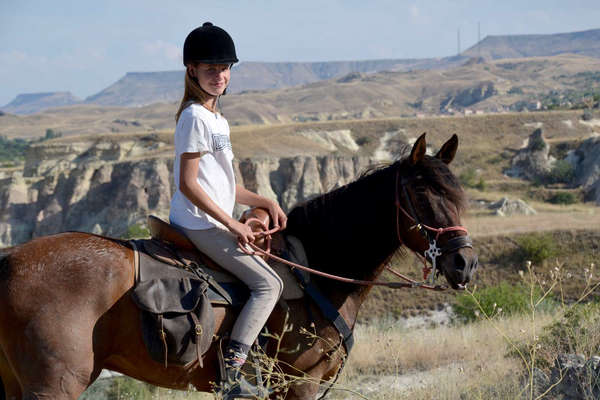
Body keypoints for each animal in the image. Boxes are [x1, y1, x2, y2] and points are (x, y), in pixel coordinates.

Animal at [0, 133, 478, 398]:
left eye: (458, 194)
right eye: (422, 195)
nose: (465, 264)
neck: (316, 270)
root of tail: (9, 260)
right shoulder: (298, 387)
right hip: (54, 385)